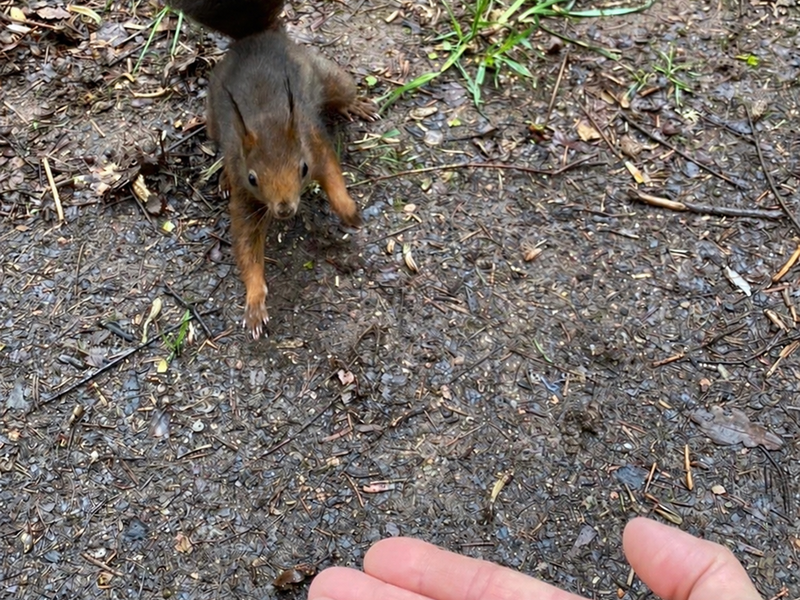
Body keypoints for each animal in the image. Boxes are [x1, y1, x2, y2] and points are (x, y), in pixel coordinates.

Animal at [169, 0, 376, 339]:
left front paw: (348, 212)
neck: (267, 121)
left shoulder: (315, 144)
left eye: (303, 168)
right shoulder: (246, 194)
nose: (284, 209)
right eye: (253, 178)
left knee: (342, 90)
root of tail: (255, 37)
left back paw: (354, 106)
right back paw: (223, 178)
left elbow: (333, 176)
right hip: (213, 117)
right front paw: (255, 302)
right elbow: (246, 244)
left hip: (329, 76)